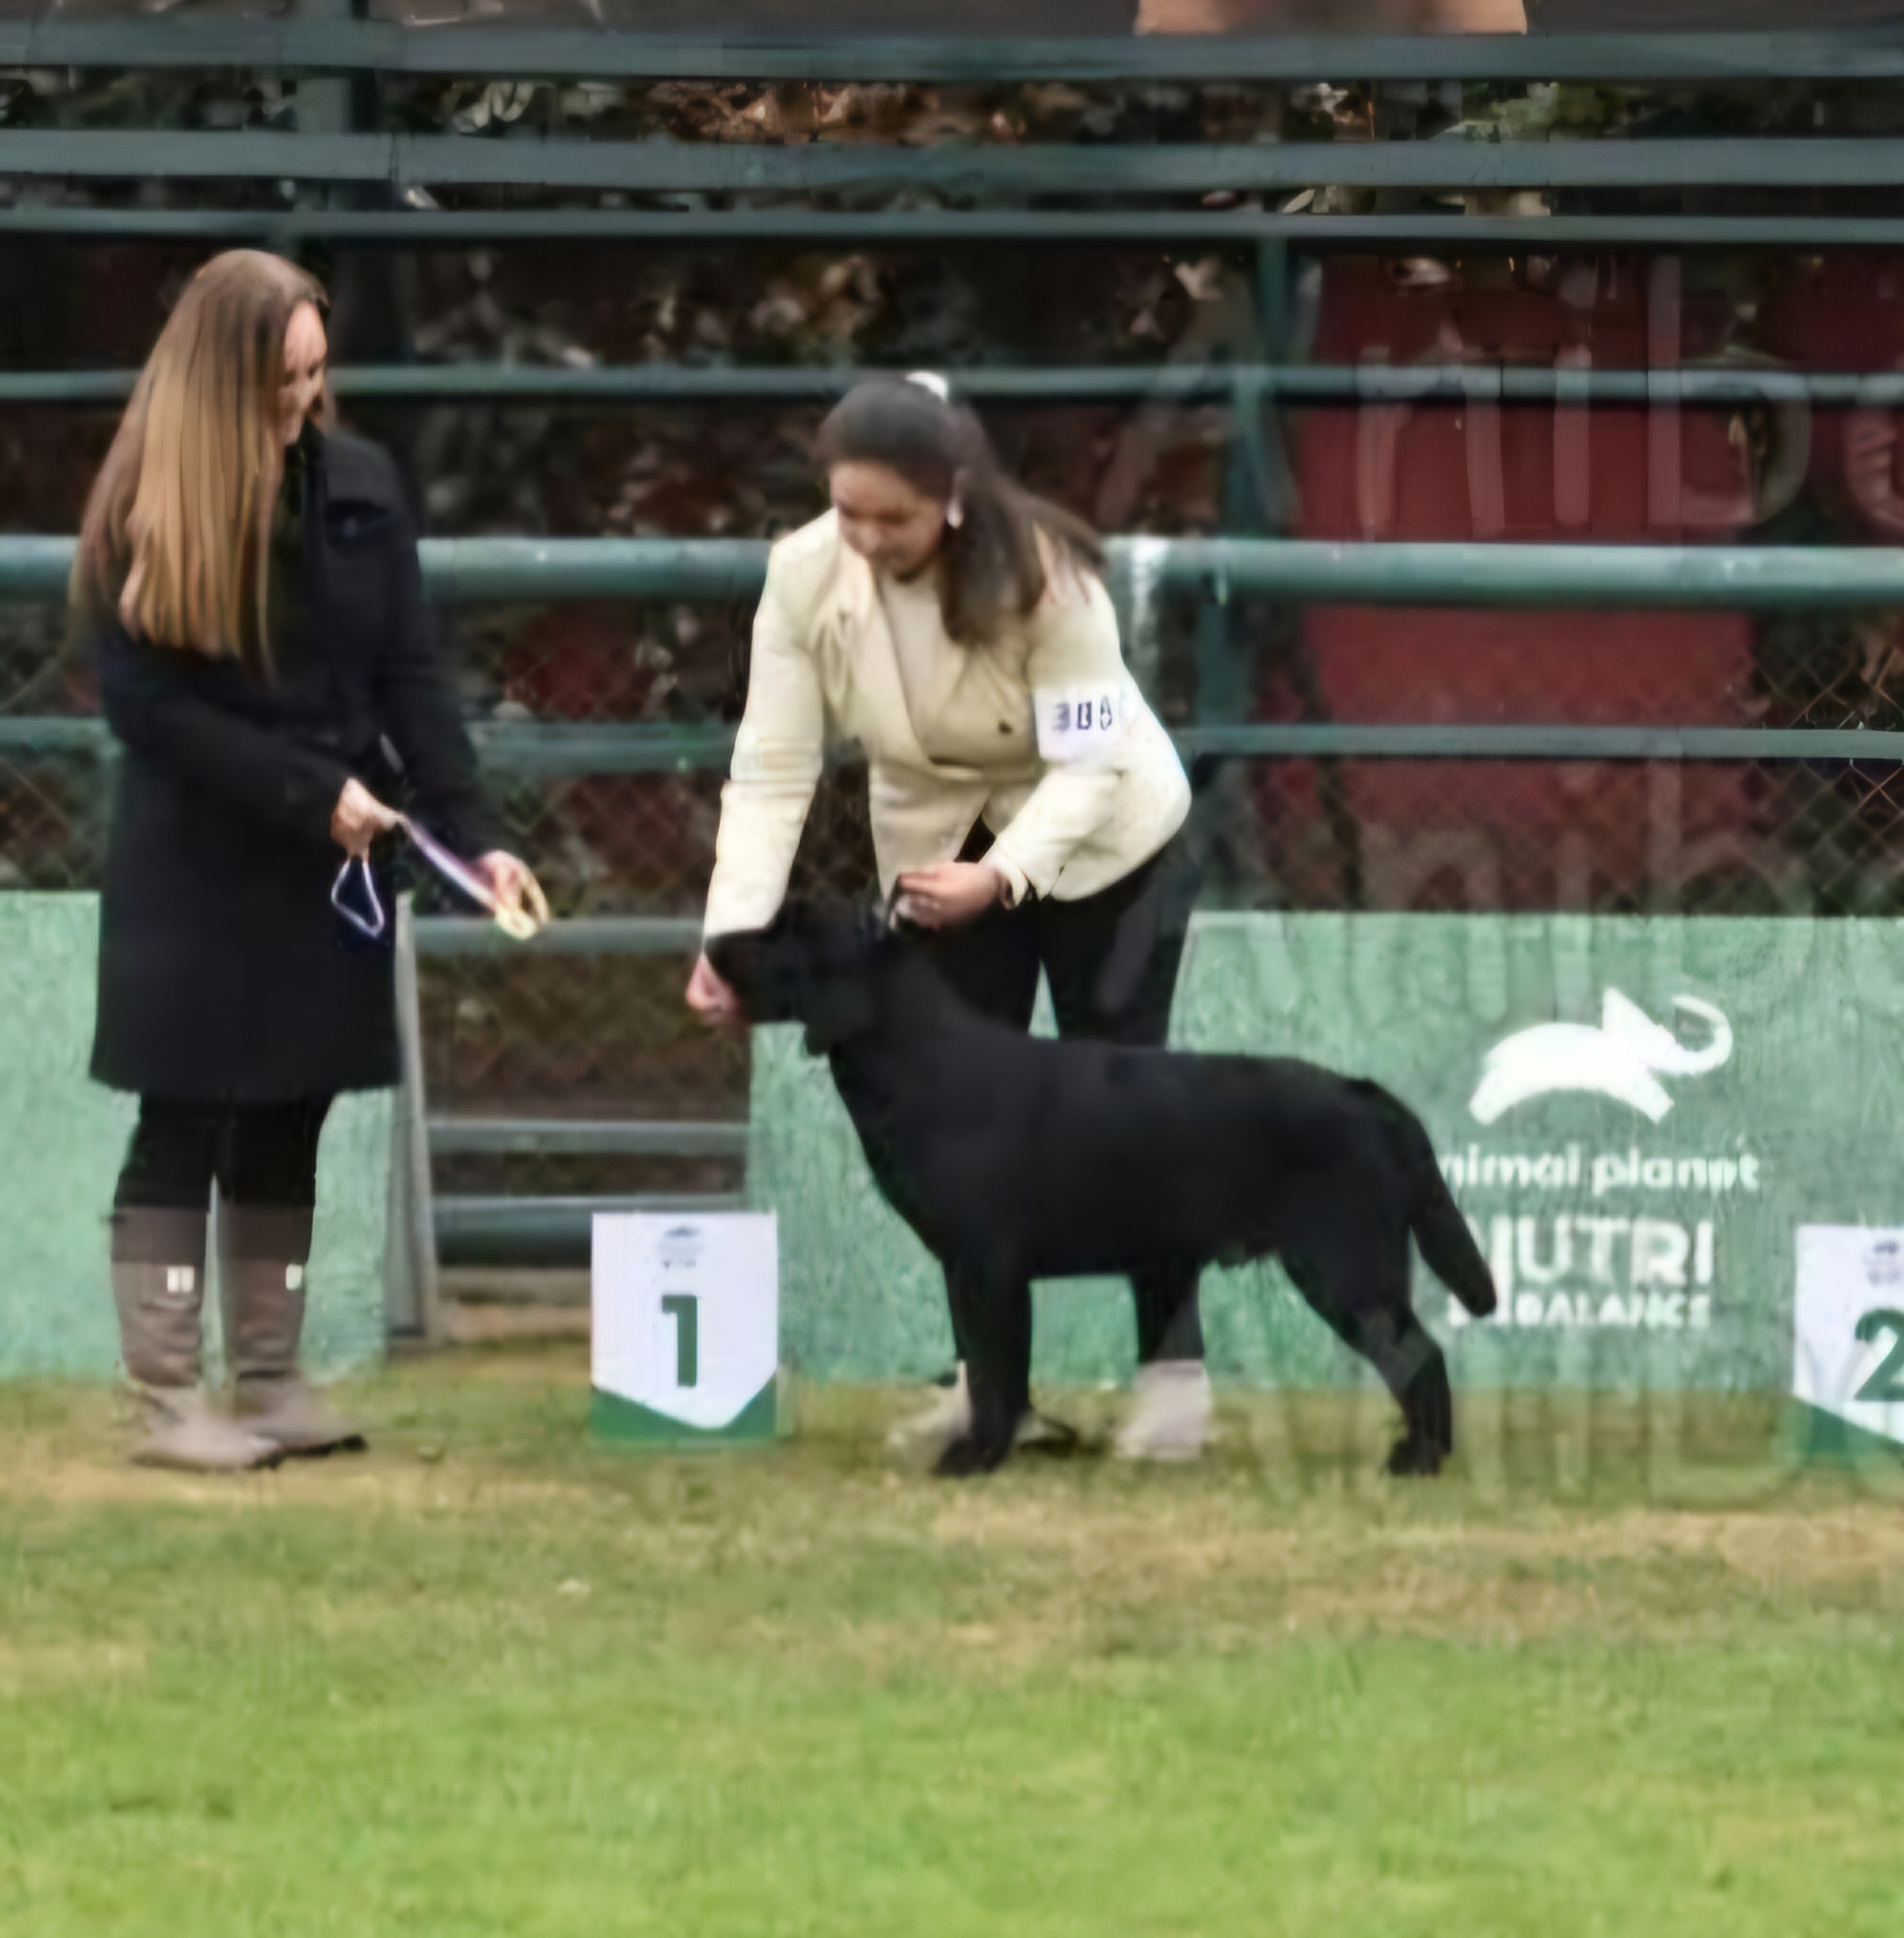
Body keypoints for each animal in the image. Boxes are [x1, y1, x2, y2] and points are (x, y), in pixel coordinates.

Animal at [709, 905, 1497, 1478]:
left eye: (786, 930)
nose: (714, 942)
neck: (919, 1061)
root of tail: (1369, 1097)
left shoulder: (988, 1266)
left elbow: (994, 1371)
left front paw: (974, 1458)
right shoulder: (966, 1268)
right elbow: (992, 1368)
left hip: (1344, 1269)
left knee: (1420, 1357)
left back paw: (1419, 1461)